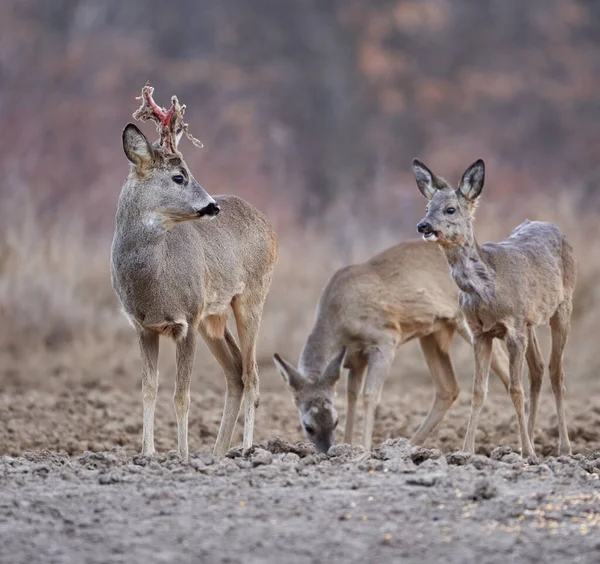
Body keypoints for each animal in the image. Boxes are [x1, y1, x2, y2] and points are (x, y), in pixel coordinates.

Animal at [110, 86, 278, 460]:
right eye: (179, 177)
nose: (212, 206)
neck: (153, 284)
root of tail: (270, 226)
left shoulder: (186, 318)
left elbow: (182, 394)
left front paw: (183, 455)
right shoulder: (143, 326)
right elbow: (148, 390)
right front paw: (147, 454)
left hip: (251, 297)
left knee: (253, 374)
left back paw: (246, 449)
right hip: (212, 318)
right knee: (235, 371)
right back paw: (217, 452)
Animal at [274, 240, 508, 452]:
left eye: (334, 421)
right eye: (308, 427)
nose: (325, 450)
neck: (338, 320)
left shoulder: (385, 339)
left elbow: (370, 395)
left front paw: (364, 450)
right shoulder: (354, 359)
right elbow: (352, 395)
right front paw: (347, 445)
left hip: (466, 321)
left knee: (503, 365)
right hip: (432, 332)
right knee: (448, 388)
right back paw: (410, 445)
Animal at [412, 156, 576, 460]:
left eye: (450, 208)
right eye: (427, 207)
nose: (423, 225)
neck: (488, 288)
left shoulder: (514, 326)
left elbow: (514, 389)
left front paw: (529, 454)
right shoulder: (480, 332)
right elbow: (479, 391)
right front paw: (466, 451)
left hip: (562, 307)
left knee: (556, 372)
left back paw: (563, 448)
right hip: (530, 321)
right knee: (537, 369)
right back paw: (529, 441)